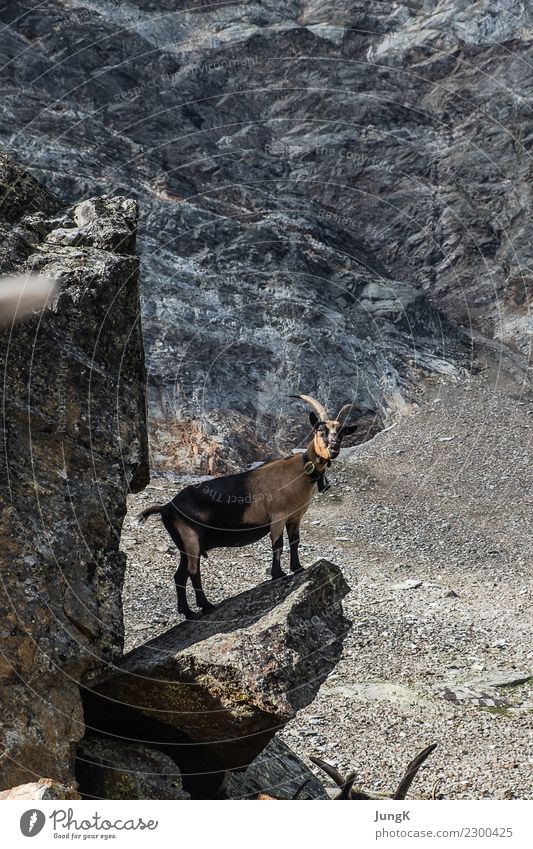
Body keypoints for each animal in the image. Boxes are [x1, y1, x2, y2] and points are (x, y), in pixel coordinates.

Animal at [137, 394, 360, 620]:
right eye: (320, 430)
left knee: (180, 575)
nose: (334, 448)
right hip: (190, 536)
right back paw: (205, 607)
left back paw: (189, 611)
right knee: (192, 571)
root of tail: (167, 507)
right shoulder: (277, 517)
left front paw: (297, 568)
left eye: (341, 433)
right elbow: (278, 545)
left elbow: (295, 542)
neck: (298, 472)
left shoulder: (295, 518)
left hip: (185, 542)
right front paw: (278, 574)